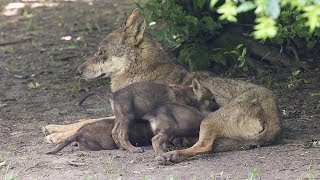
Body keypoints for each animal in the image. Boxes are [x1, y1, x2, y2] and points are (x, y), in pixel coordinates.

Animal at [43, 8, 282, 163]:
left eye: (101, 52)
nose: (78, 71)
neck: (140, 70)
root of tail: (274, 115)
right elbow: (81, 119)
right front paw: (54, 127)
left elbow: (86, 121)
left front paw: (57, 135)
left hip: (208, 121)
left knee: (205, 146)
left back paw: (172, 155)